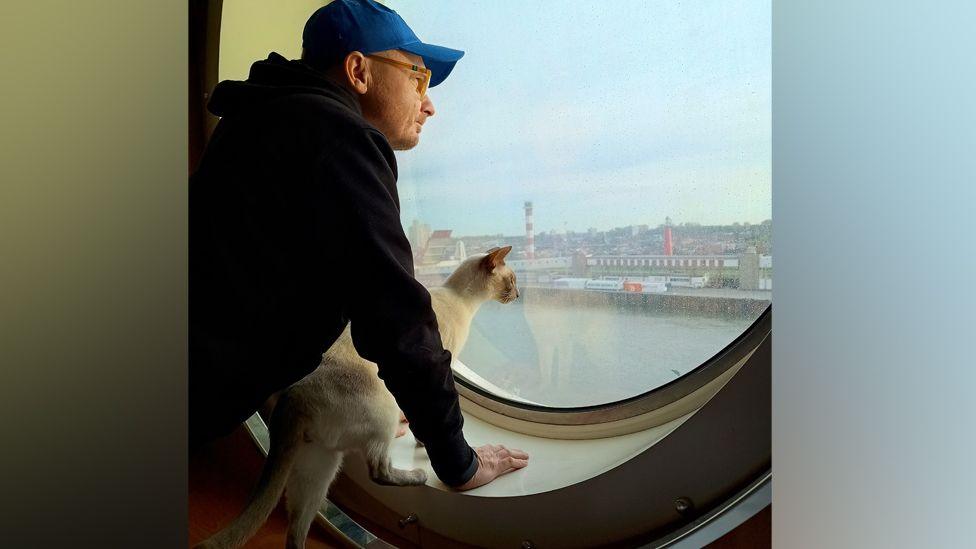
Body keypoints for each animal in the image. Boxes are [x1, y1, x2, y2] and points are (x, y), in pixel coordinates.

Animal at [196, 245, 520, 548]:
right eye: (514, 280)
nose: (517, 295)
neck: (459, 298)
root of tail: (293, 397)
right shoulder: (439, 365)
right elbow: (430, 414)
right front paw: (421, 443)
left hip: (319, 468)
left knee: (296, 530)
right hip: (381, 411)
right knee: (378, 469)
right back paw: (415, 472)